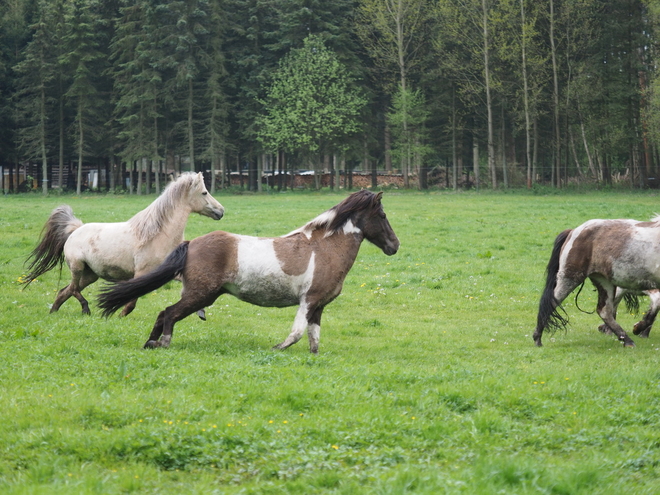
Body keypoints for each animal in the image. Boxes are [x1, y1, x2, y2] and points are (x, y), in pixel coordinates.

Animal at [23, 172, 226, 316]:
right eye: (204, 192)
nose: (221, 211)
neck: (157, 234)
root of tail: (75, 229)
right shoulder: (141, 273)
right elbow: (132, 301)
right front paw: (120, 314)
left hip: (90, 275)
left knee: (64, 291)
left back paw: (54, 312)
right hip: (77, 267)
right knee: (72, 289)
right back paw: (85, 309)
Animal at [96, 190, 398, 352]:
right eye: (383, 215)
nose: (394, 245)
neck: (324, 249)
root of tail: (192, 242)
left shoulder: (318, 306)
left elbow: (314, 339)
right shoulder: (308, 300)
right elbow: (296, 333)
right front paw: (276, 349)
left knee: (163, 315)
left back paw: (150, 343)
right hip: (201, 294)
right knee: (168, 313)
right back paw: (163, 343)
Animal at [532, 217, 660, 348]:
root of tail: (574, 231)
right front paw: (639, 328)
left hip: (604, 281)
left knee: (604, 311)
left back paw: (626, 340)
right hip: (570, 278)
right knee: (551, 303)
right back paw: (537, 338)